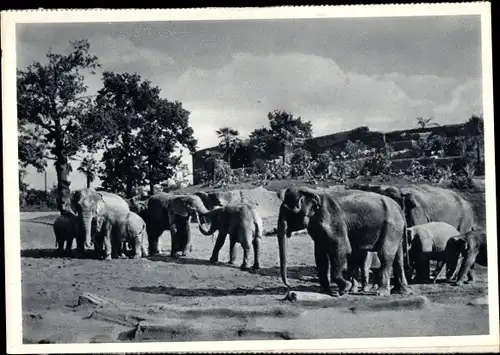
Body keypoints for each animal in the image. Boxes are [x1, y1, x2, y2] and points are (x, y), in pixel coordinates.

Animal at [278, 188, 410, 296]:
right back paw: (400, 291)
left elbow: (341, 249)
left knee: (385, 255)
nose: (289, 286)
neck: (313, 192)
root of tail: (398, 207)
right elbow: (320, 256)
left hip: (391, 227)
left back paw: (382, 292)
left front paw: (344, 288)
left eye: (290, 210)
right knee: (398, 258)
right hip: (396, 229)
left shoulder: (333, 220)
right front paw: (325, 291)